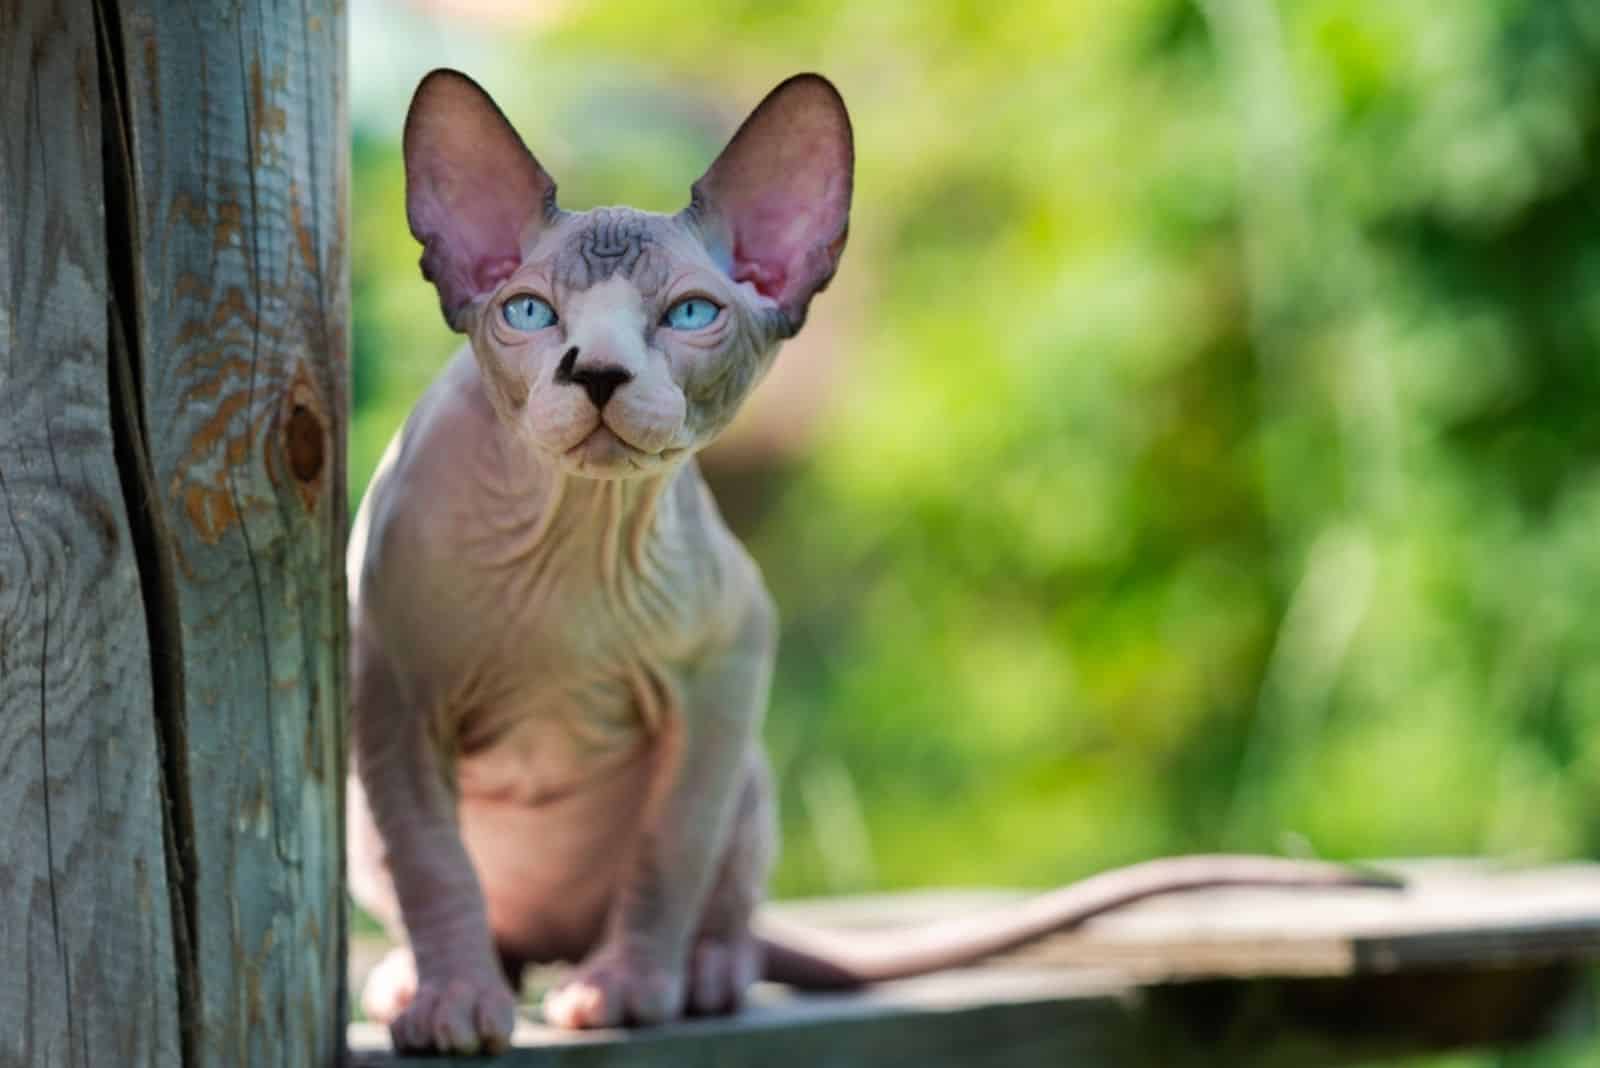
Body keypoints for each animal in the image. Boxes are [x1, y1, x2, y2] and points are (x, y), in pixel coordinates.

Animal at [350, 70, 1401, 1055]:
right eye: (528, 311)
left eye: (690, 315)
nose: (599, 374)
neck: (572, 533)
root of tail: (551, 932)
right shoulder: (391, 690)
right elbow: (432, 862)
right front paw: (455, 1004)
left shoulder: (730, 658)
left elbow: (668, 848)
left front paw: (628, 989)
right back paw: (424, 976)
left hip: (748, 777)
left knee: (721, 896)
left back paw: (700, 973)